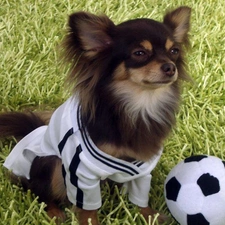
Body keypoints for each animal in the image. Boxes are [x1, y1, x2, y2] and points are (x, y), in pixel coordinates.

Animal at [0, 6, 191, 225]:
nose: (170, 67)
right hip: (53, 164)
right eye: (139, 53)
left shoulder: (142, 167)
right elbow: (87, 208)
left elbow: (141, 196)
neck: (141, 104)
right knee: (39, 191)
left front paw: (150, 216)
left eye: (174, 51)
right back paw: (54, 212)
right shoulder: (82, 172)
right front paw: (90, 222)